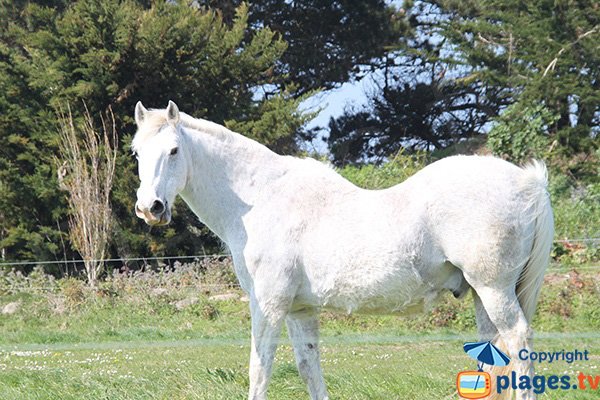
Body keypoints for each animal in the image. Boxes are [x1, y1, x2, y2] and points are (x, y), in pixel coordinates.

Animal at [131, 101, 552, 400]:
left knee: (518, 342)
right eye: (136, 152)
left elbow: (259, 369)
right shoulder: (299, 310)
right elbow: (308, 368)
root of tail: (529, 182)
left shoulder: (268, 305)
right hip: (482, 295)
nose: (150, 207)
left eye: (173, 150)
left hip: (494, 290)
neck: (261, 197)